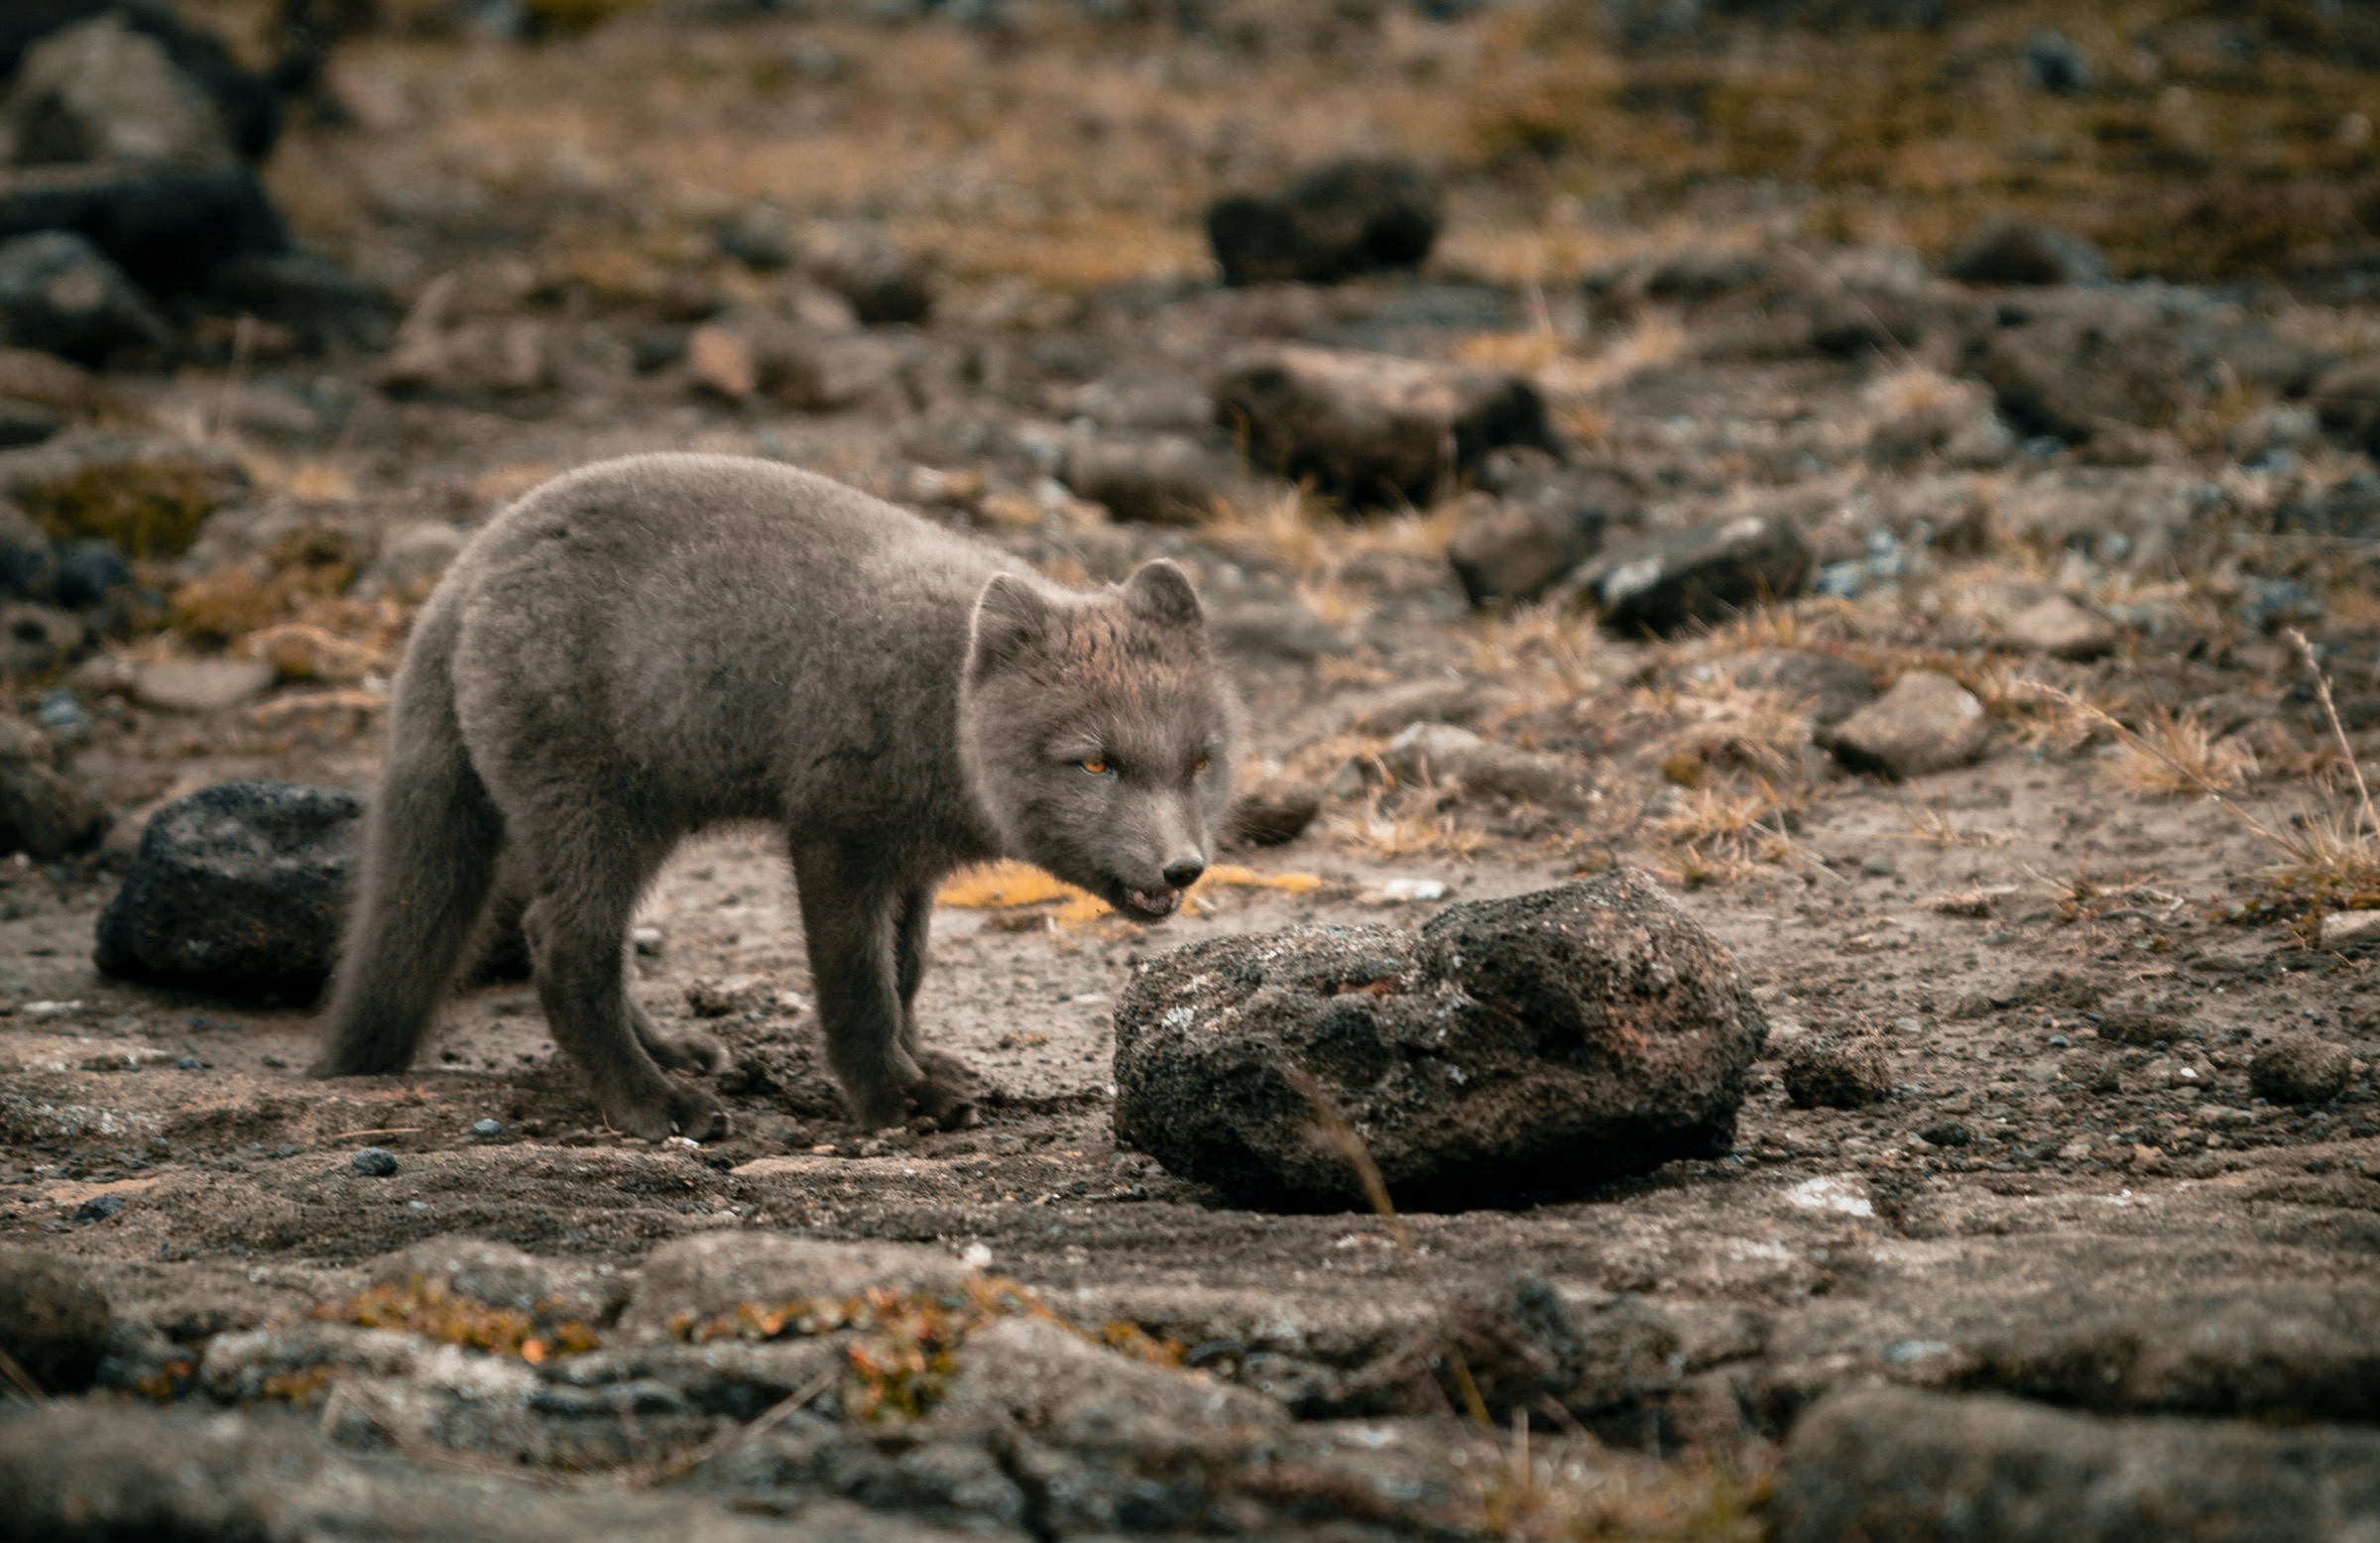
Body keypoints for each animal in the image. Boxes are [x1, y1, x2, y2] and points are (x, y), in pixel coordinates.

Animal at [314, 453, 1239, 1140]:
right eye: (1095, 765)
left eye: (1200, 762)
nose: (1183, 869)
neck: (938, 703)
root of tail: (466, 567)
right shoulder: (834, 833)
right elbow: (859, 982)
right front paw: (892, 1099)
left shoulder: (911, 863)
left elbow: (907, 972)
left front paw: (925, 1064)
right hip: (596, 807)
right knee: (562, 944)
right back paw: (654, 1104)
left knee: (585, 944)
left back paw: (674, 1054)